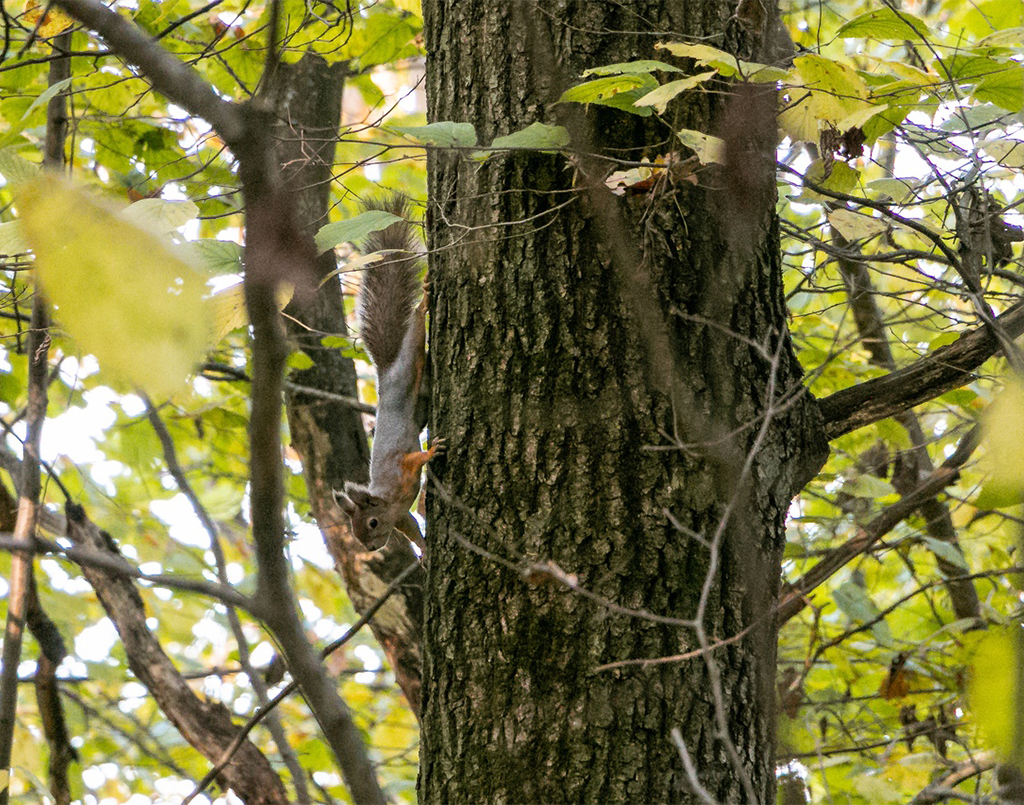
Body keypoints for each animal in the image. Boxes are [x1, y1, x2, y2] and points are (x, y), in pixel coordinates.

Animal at [333, 197, 442, 553]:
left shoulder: (401, 470)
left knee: (416, 331)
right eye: (355, 531)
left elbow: (414, 459)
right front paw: (423, 551)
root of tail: (386, 372)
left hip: (409, 362)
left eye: (372, 523)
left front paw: (432, 451)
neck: (387, 500)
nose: (369, 549)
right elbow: (412, 528)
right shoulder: (402, 517)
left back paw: (424, 304)